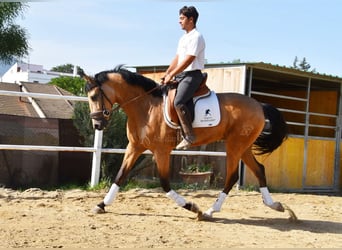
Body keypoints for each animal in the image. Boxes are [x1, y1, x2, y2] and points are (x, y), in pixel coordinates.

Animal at [81, 65, 288, 220]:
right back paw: (274, 205)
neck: (146, 107)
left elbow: (165, 184)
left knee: (232, 176)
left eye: (93, 97)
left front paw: (191, 206)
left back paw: (210, 211)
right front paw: (101, 205)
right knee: (259, 169)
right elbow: (120, 176)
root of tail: (258, 105)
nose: (98, 125)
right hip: (243, 147)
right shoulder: (134, 147)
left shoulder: (161, 151)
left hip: (235, 146)